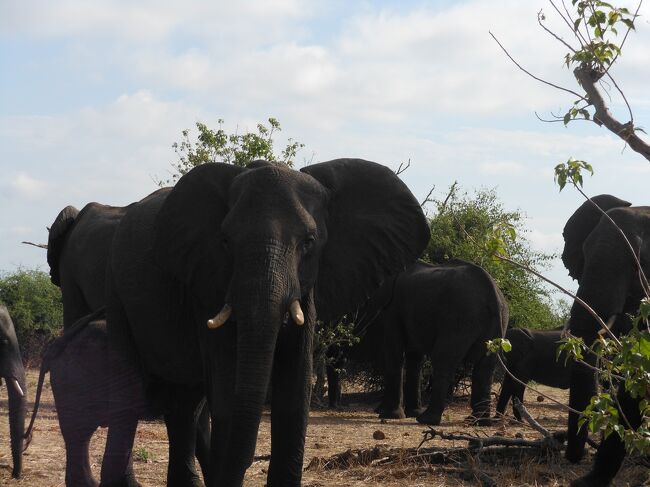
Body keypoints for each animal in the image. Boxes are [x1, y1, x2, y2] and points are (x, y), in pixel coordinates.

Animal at [101, 158, 428, 486]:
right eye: (225, 241)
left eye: (309, 242)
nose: (252, 461)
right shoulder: (207, 281)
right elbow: (227, 390)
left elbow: (295, 389)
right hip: (110, 289)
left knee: (185, 404)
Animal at [342, 262, 504, 426]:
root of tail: (492, 294)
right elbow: (414, 358)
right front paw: (410, 413)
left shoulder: (392, 310)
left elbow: (394, 352)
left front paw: (390, 415)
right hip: (493, 327)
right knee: (484, 369)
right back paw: (478, 422)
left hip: (459, 319)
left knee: (443, 360)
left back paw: (427, 419)